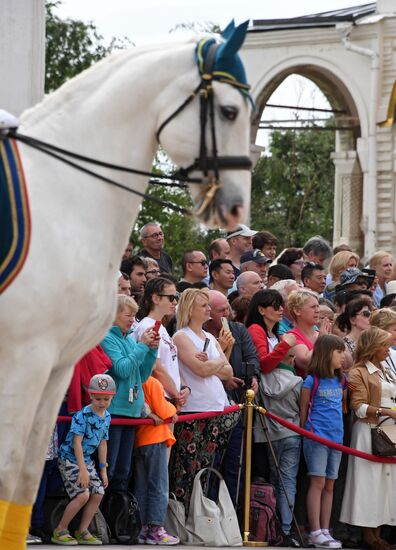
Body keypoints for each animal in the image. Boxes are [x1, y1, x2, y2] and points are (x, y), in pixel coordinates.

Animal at [0, 20, 252, 548]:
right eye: (229, 110)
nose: (237, 206)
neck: (63, 195)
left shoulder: (53, 369)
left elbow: (22, 483)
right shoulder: (23, 361)